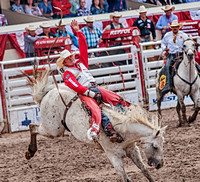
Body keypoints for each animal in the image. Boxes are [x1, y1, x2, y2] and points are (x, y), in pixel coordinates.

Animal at [25, 70, 167, 182]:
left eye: (162, 144)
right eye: (155, 146)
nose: (160, 164)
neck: (122, 130)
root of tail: (48, 93)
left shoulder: (133, 150)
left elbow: (145, 171)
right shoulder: (113, 156)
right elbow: (126, 178)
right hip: (53, 129)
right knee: (33, 126)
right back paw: (30, 151)